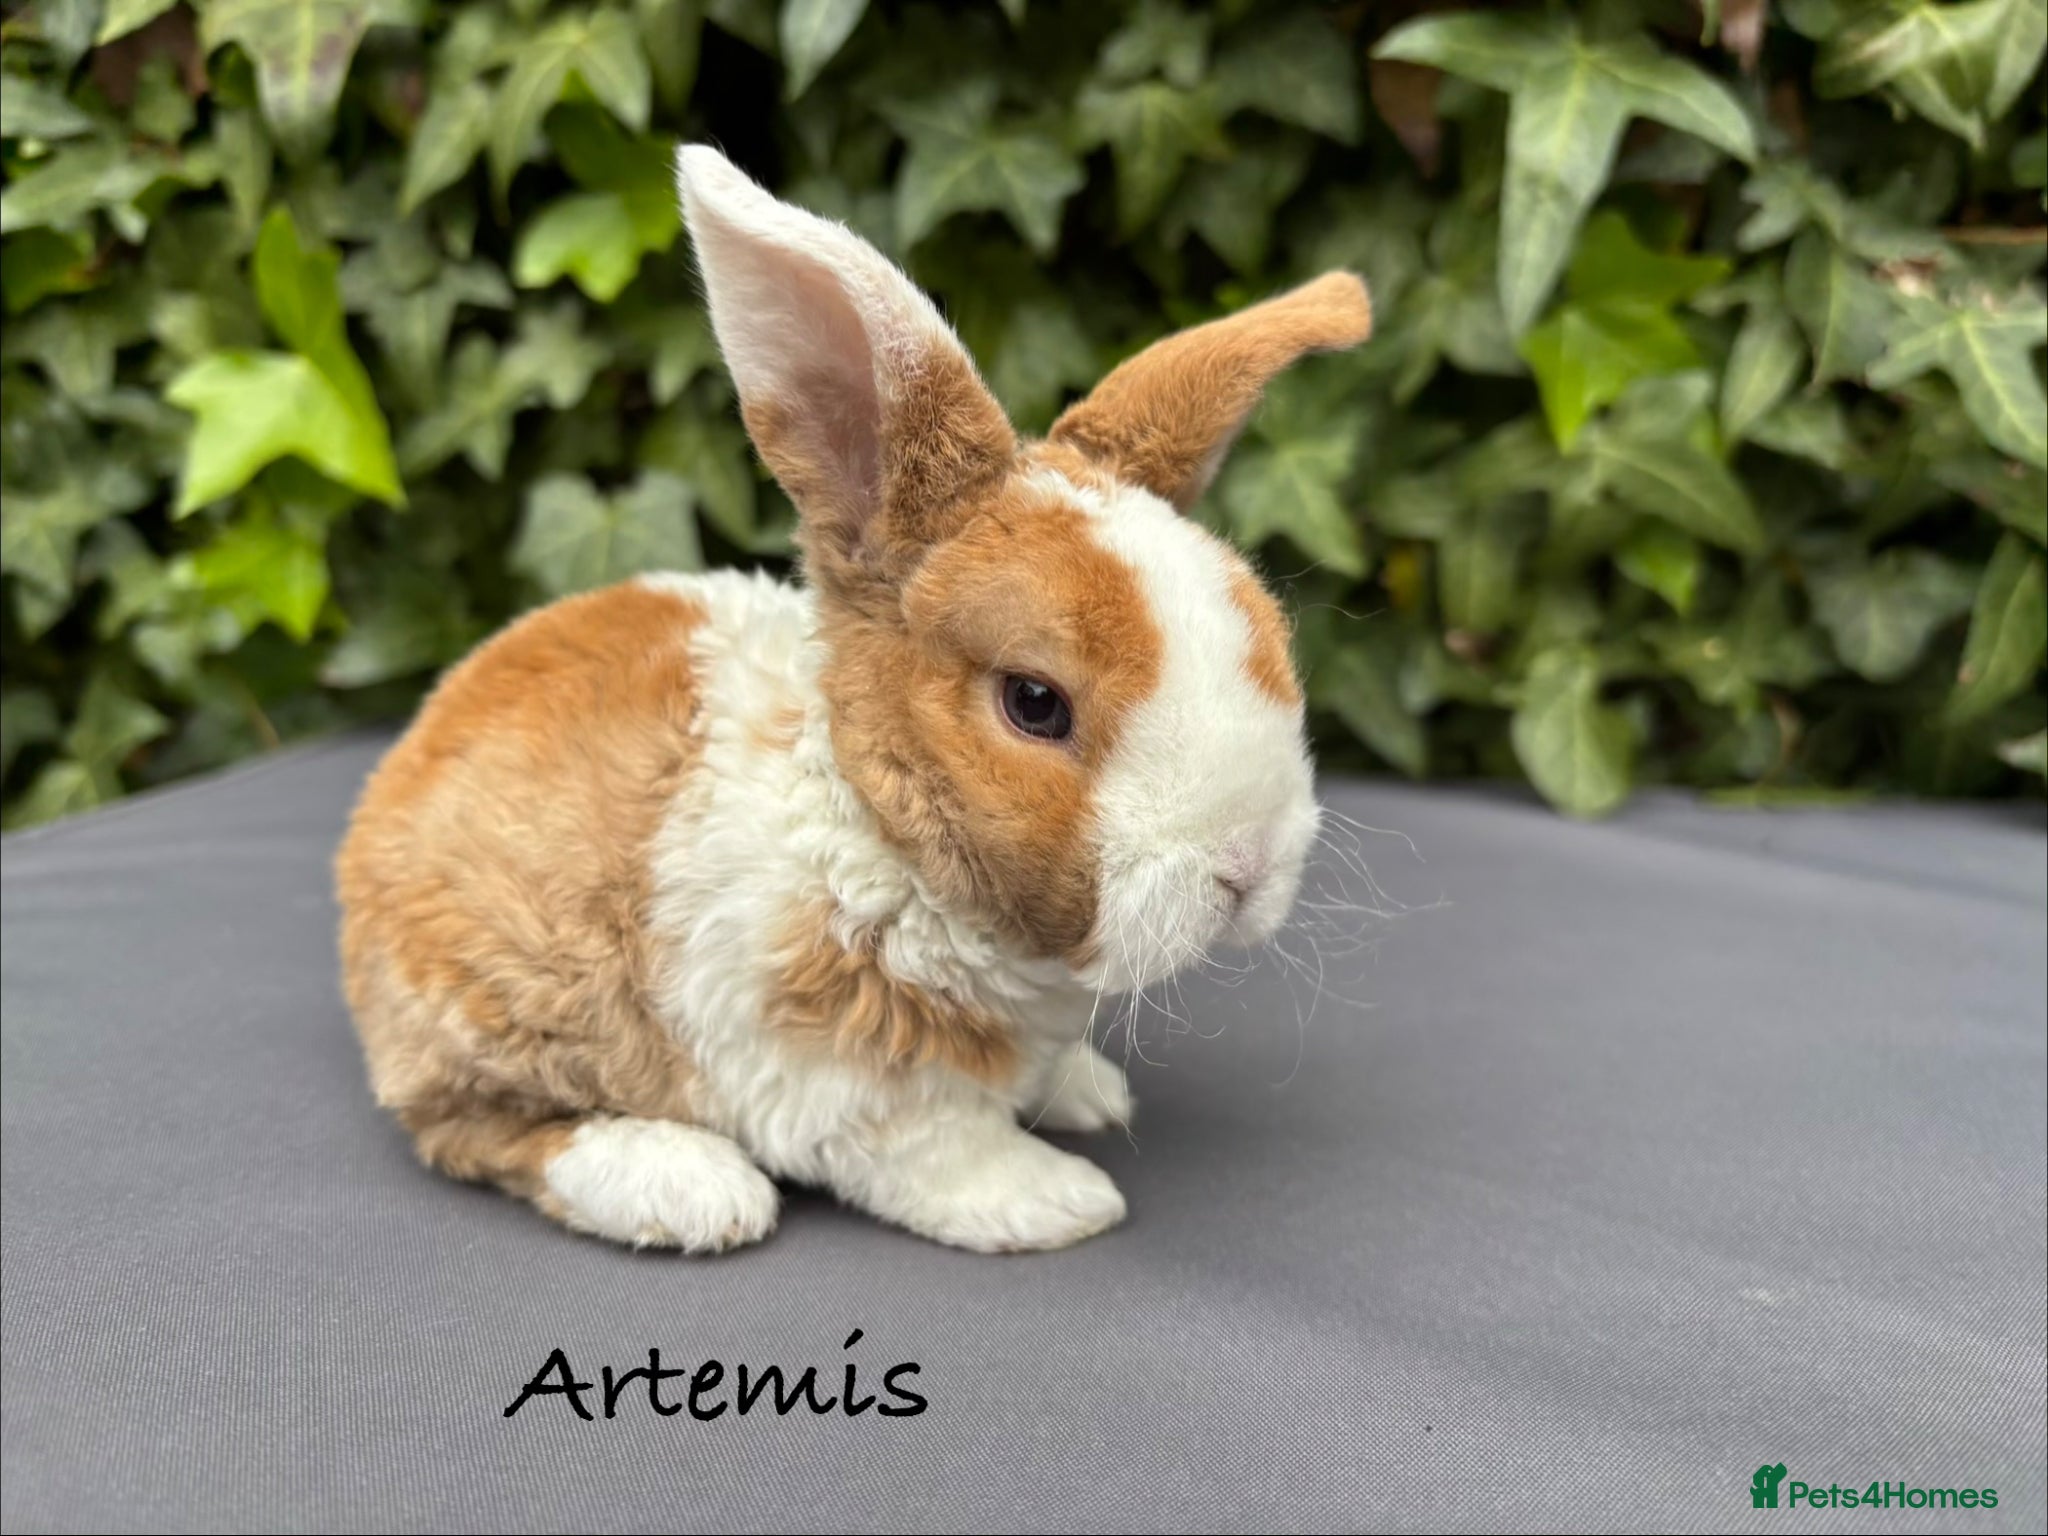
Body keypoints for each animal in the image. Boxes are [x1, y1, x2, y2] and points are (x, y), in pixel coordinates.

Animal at [334, 144, 1372, 1255]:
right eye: (1034, 701)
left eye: (1262, 635)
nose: (1247, 865)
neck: (874, 825)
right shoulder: (835, 1067)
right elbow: (933, 1150)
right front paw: (1056, 1201)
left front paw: (1086, 1092)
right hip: (498, 1002)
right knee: (474, 1130)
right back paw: (687, 1188)